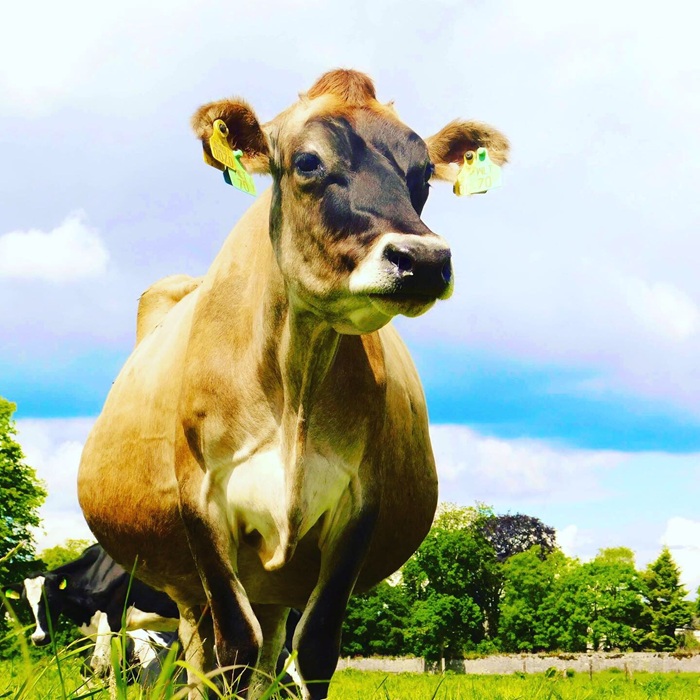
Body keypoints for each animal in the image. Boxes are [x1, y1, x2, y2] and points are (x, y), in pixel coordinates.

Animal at [77, 68, 509, 699]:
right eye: (307, 162)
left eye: (423, 174)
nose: (424, 260)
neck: (294, 380)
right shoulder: (201, 505)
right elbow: (233, 649)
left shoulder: (358, 506)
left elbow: (315, 649)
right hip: (184, 584)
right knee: (202, 652)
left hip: (273, 583)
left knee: (267, 651)